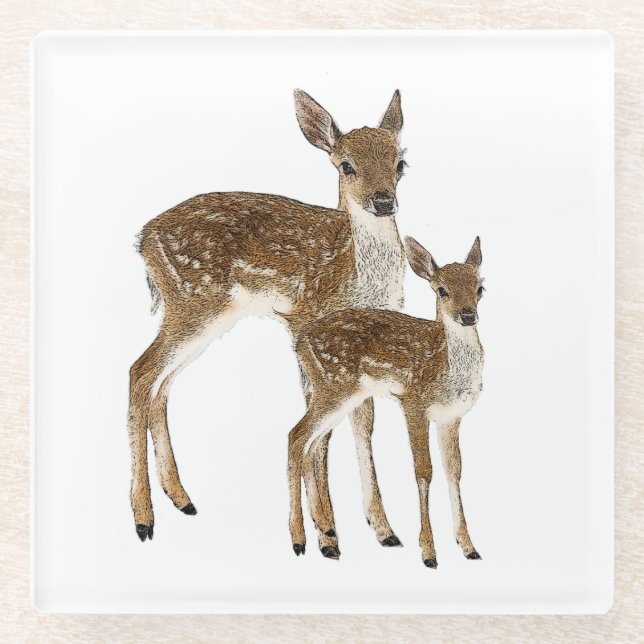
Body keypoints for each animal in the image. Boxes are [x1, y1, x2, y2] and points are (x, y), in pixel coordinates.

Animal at [129, 89, 409, 553]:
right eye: (345, 164)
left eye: (401, 163)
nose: (383, 201)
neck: (353, 273)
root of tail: (143, 239)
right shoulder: (307, 321)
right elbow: (321, 429)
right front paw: (327, 533)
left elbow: (363, 423)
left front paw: (383, 530)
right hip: (194, 303)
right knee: (141, 371)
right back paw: (143, 519)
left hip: (200, 315)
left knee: (161, 383)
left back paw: (182, 499)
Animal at [288, 236, 485, 567]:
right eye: (441, 289)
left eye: (480, 288)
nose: (468, 315)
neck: (444, 367)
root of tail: (299, 343)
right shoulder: (414, 403)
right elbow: (423, 472)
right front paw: (429, 553)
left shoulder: (451, 417)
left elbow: (454, 471)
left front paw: (469, 547)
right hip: (334, 387)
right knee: (296, 436)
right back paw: (300, 540)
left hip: (340, 394)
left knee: (312, 443)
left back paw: (326, 535)